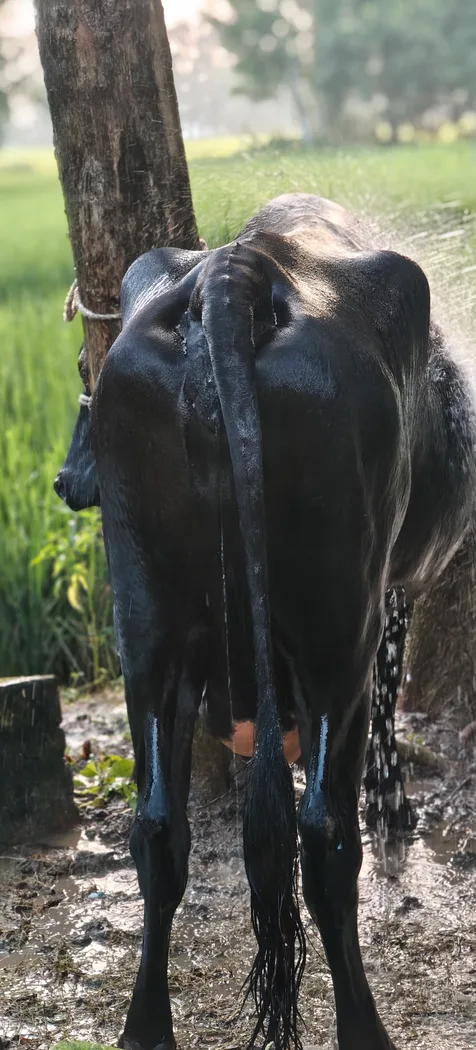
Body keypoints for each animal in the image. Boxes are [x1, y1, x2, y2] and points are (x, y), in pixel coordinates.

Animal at [54, 194, 476, 1050]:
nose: (65, 481)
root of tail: (233, 273)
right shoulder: (388, 595)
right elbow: (389, 707)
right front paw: (396, 815)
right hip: (333, 630)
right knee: (324, 834)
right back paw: (364, 1028)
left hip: (149, 628)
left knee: (158, 828)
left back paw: (145, 1029)